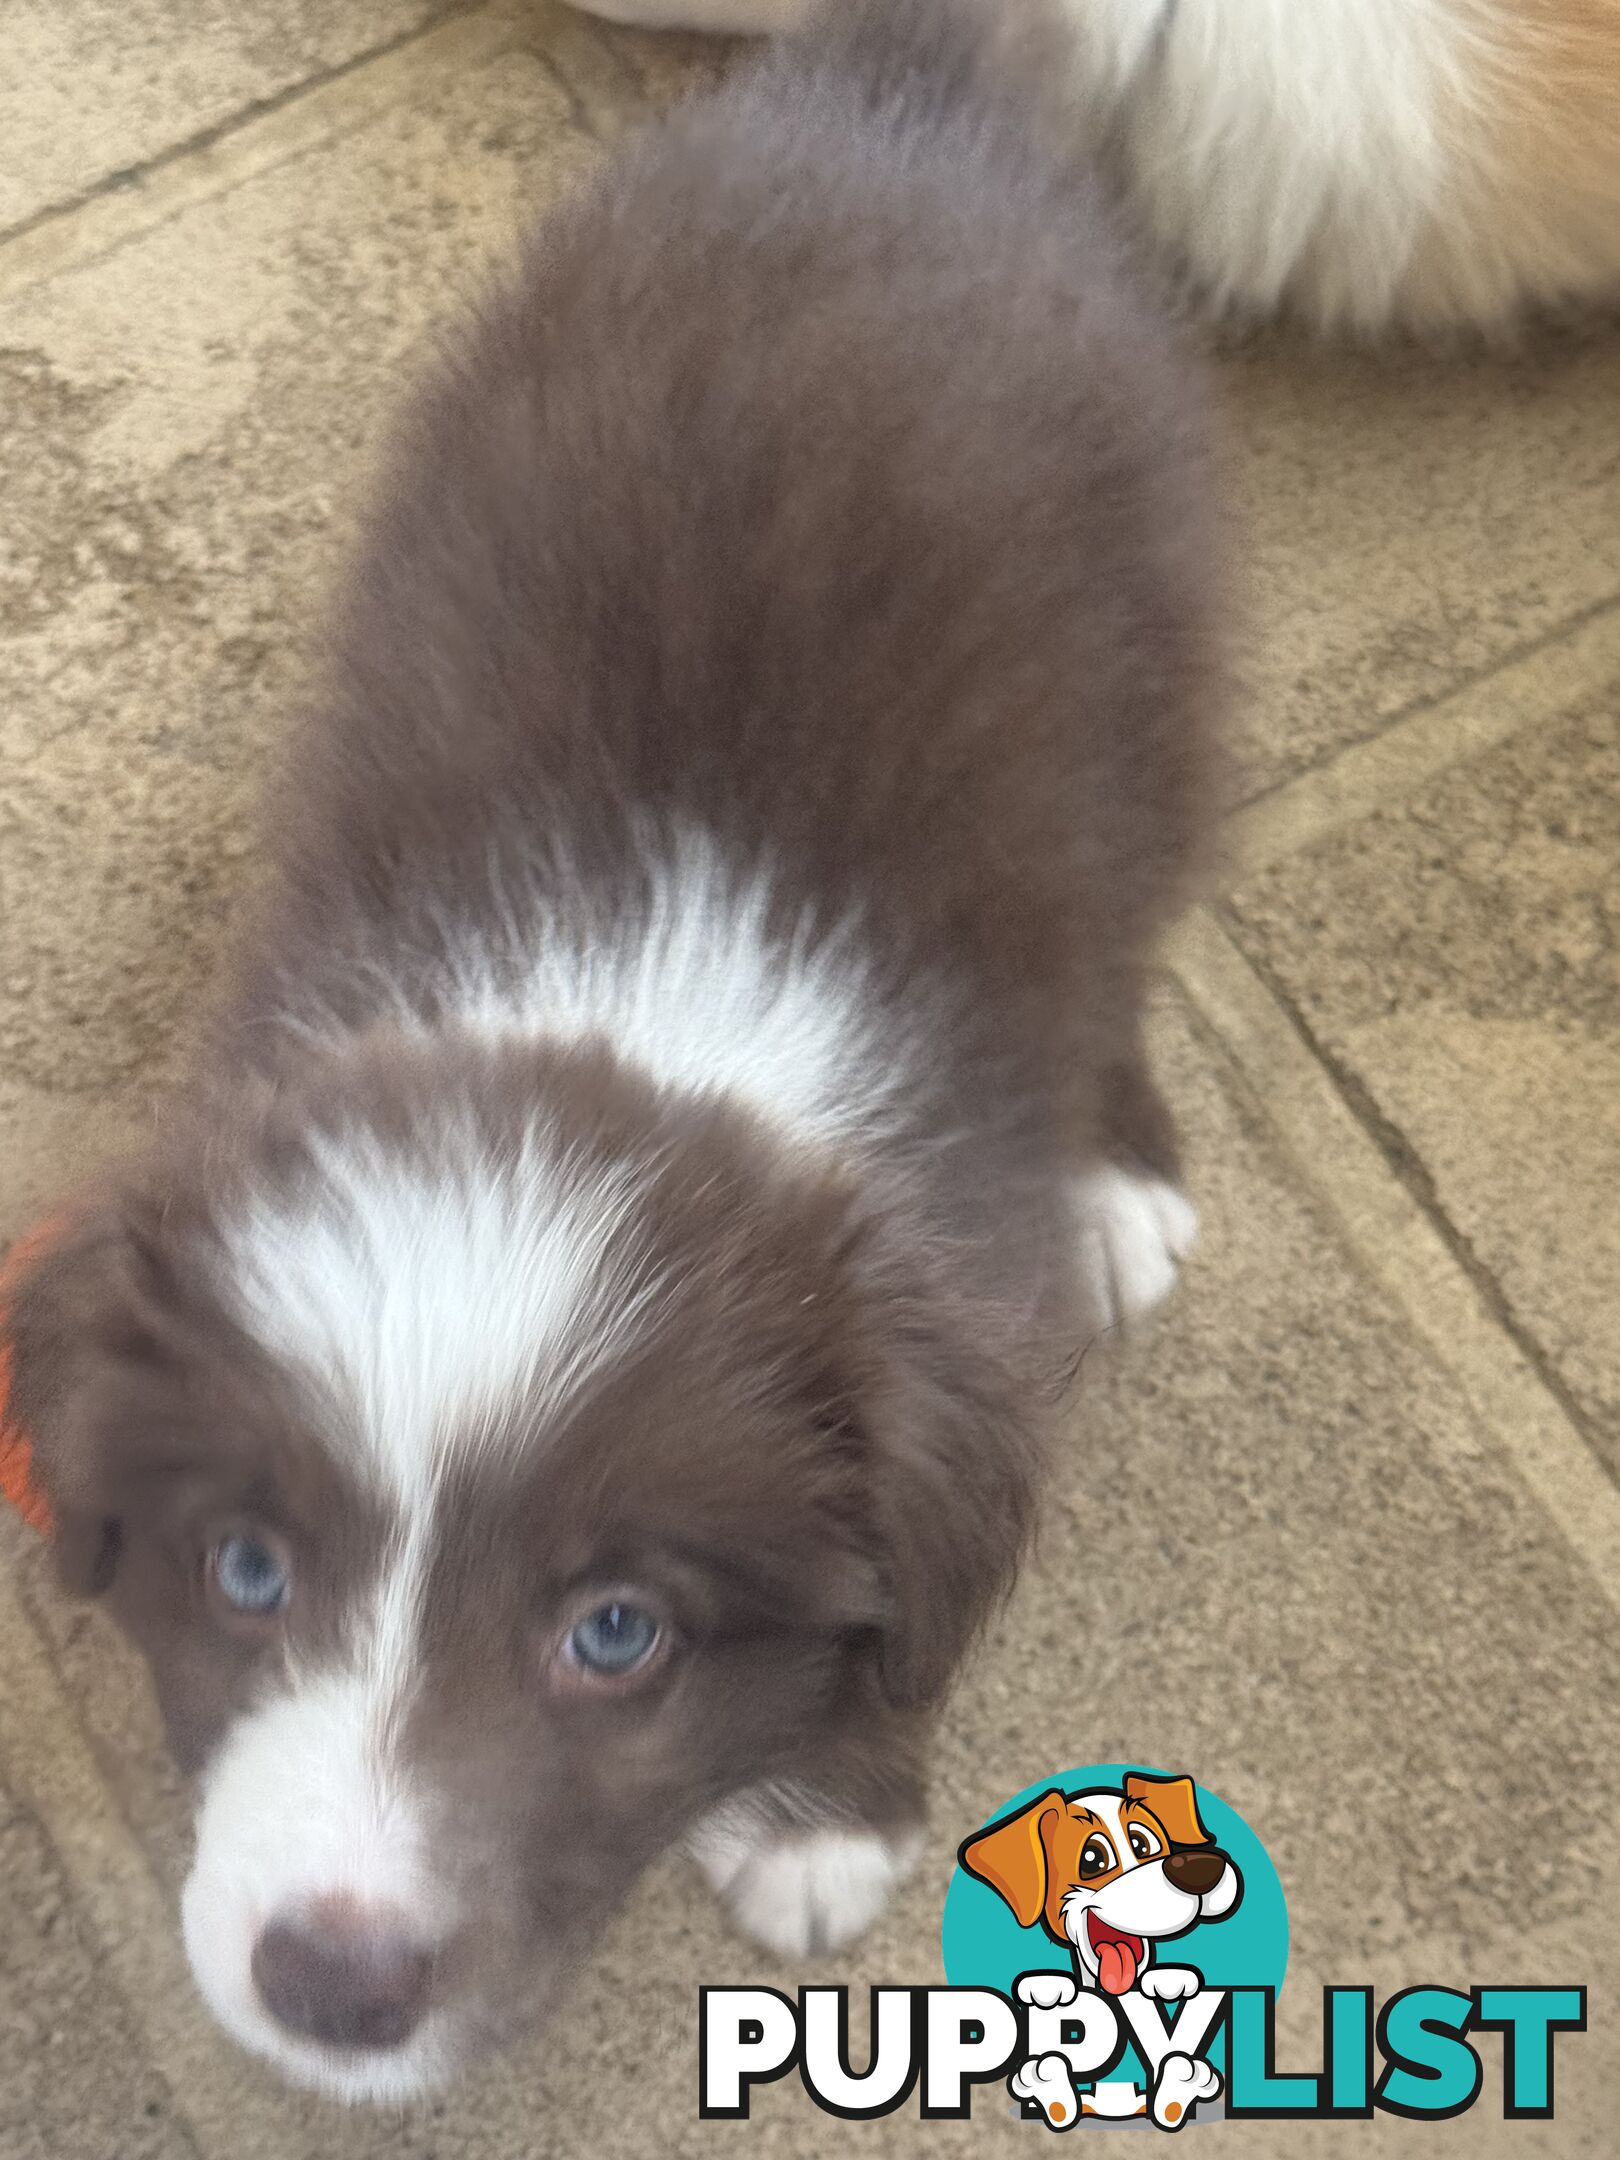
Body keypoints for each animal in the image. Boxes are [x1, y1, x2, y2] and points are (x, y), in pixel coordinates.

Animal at [0, 0, 1218, 2099]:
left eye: (620, 1631)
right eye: (244, 1572)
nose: (333, 1986)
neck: (635, 992)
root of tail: (885, 91)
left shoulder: (953, 1289)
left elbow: (927, 1608)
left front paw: (825, 1826)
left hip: (1158, 677)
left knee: (1131, 922)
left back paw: (1122, 1181)